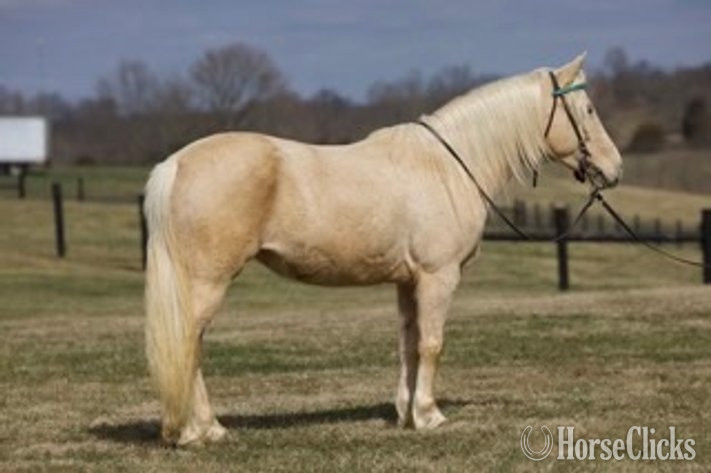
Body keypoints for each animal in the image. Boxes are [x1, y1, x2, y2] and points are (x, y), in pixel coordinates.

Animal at [143, 53, 622, 446]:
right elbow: (432, 343)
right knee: (189, 346)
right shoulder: (438, 276)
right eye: (589, 109)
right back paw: (201, 431)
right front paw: (430, 416)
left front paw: (406, 414)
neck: (446, 166)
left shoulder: (408, 282)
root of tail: (176, 163)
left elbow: (408, 344)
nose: (614, 167)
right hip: (207, 283)